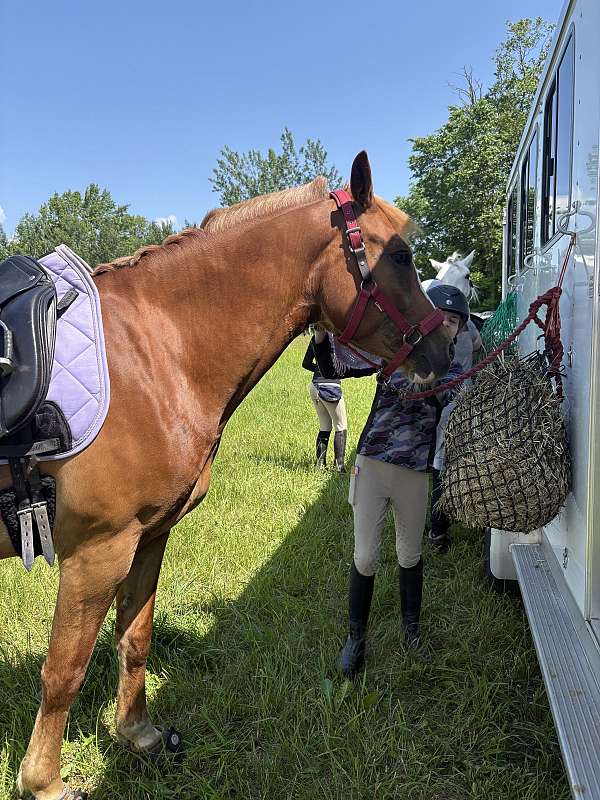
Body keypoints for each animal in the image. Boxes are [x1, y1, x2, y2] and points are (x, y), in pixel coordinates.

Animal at [0, 151, 455, 800]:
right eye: (400, 256)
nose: (444, 348)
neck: (155, 352)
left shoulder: (147, 537)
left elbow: (133, 638)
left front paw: (136, 734)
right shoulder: (96, 551)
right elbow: (64, 668)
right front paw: (44, 782)